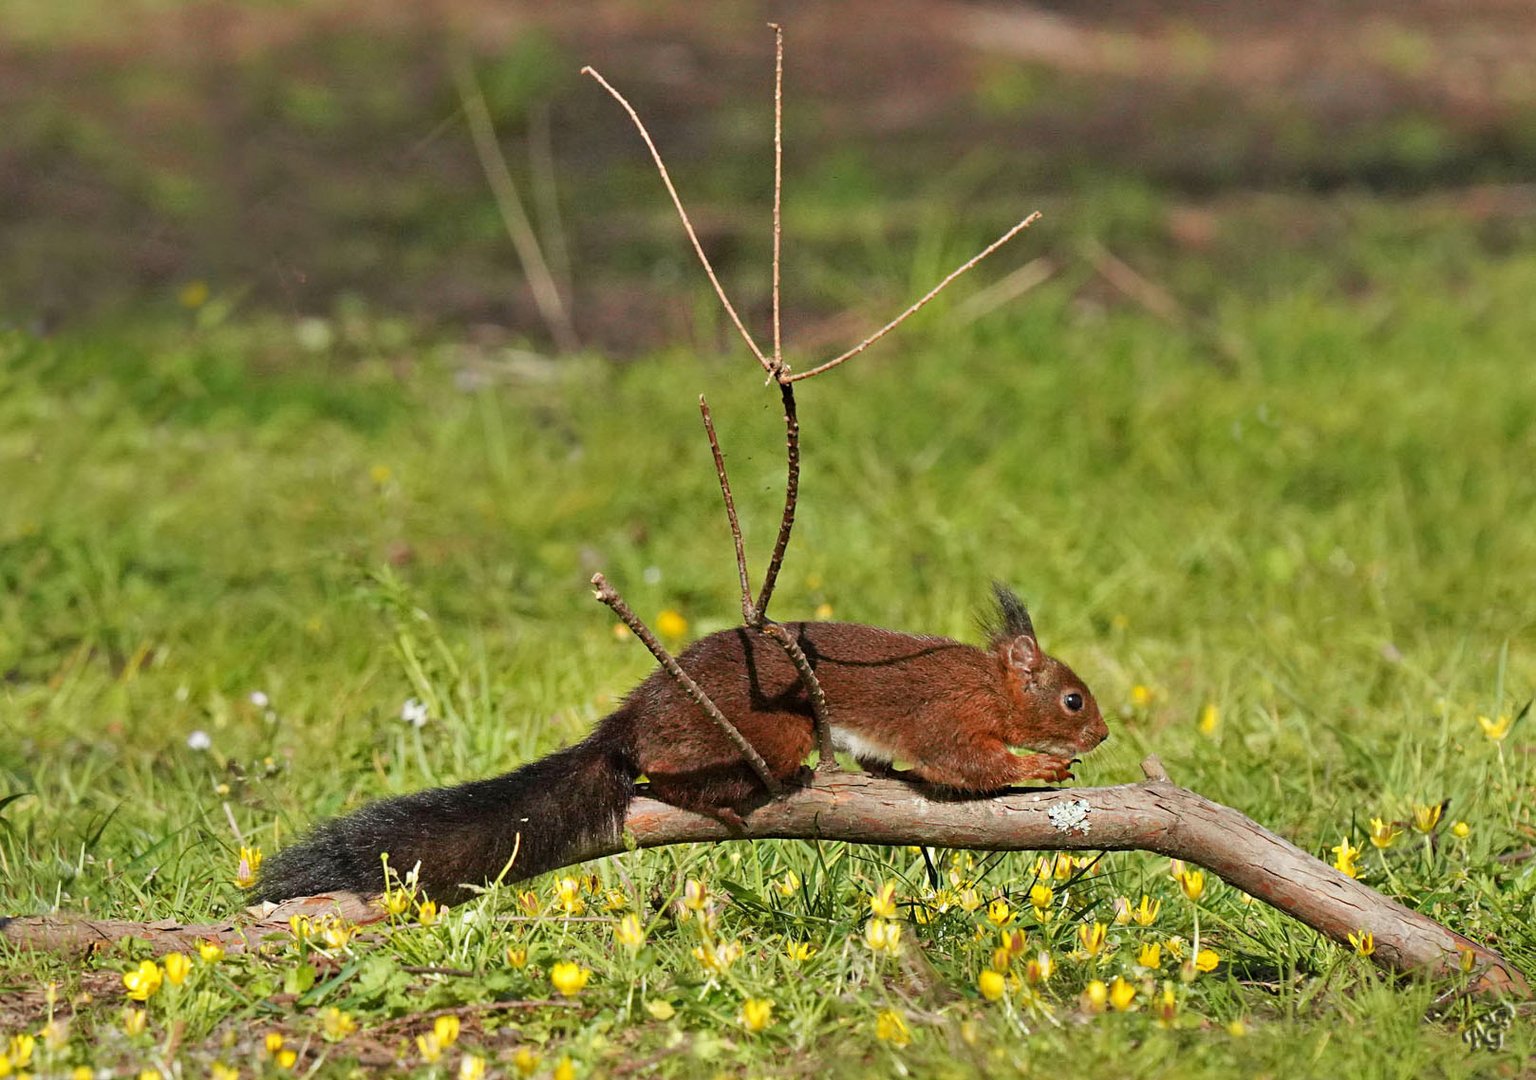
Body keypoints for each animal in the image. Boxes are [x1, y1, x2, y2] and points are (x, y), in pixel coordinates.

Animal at [258, 586, 1112, 897]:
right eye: (1073, 698)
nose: (1103, 731)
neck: (991, 685)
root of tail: (628, 722)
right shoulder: (947, 716)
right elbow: (963, 764)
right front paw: (1044, 767)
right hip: (769, 726)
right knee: (662, 774)